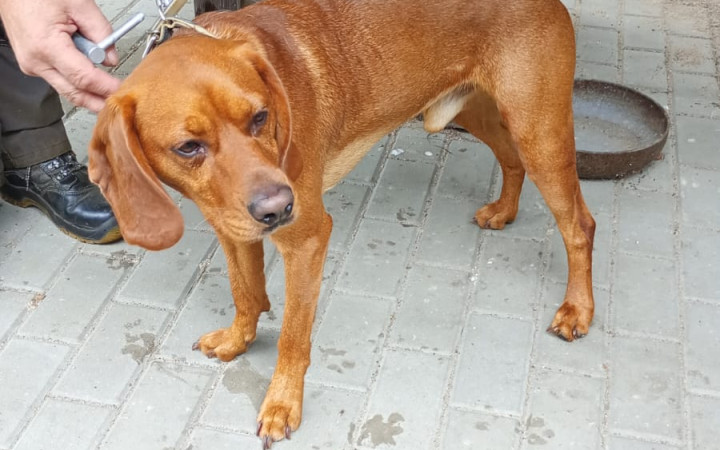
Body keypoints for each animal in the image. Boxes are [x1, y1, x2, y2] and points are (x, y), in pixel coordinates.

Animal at [88, 0, 595, 447]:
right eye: (188, 147)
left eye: (260, 117)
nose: (279, 208)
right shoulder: (231, 228)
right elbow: (245, 292)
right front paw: (238, 339)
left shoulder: (307, 240)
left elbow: (292, 337)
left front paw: (282, 404)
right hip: (478, 112)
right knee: (512, 161)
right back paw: (504, 211)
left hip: (540, 133)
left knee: (580, 225)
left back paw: (578, 309)